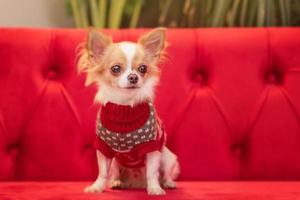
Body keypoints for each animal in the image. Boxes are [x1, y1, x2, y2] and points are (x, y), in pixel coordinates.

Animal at [78, 28, 179, 195]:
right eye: (116, 69)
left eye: (143, 68)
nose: (133, 77)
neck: (124, 107)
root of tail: (136, 181)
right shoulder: (104, 148)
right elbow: (102, 172)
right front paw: (97, 187)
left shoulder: (152, 148)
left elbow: (152, 173)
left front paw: (154, 189)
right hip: (116, 163)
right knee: (114, 173)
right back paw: (117, 182)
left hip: (167, 157)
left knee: (164, 174)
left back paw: (168, 183)